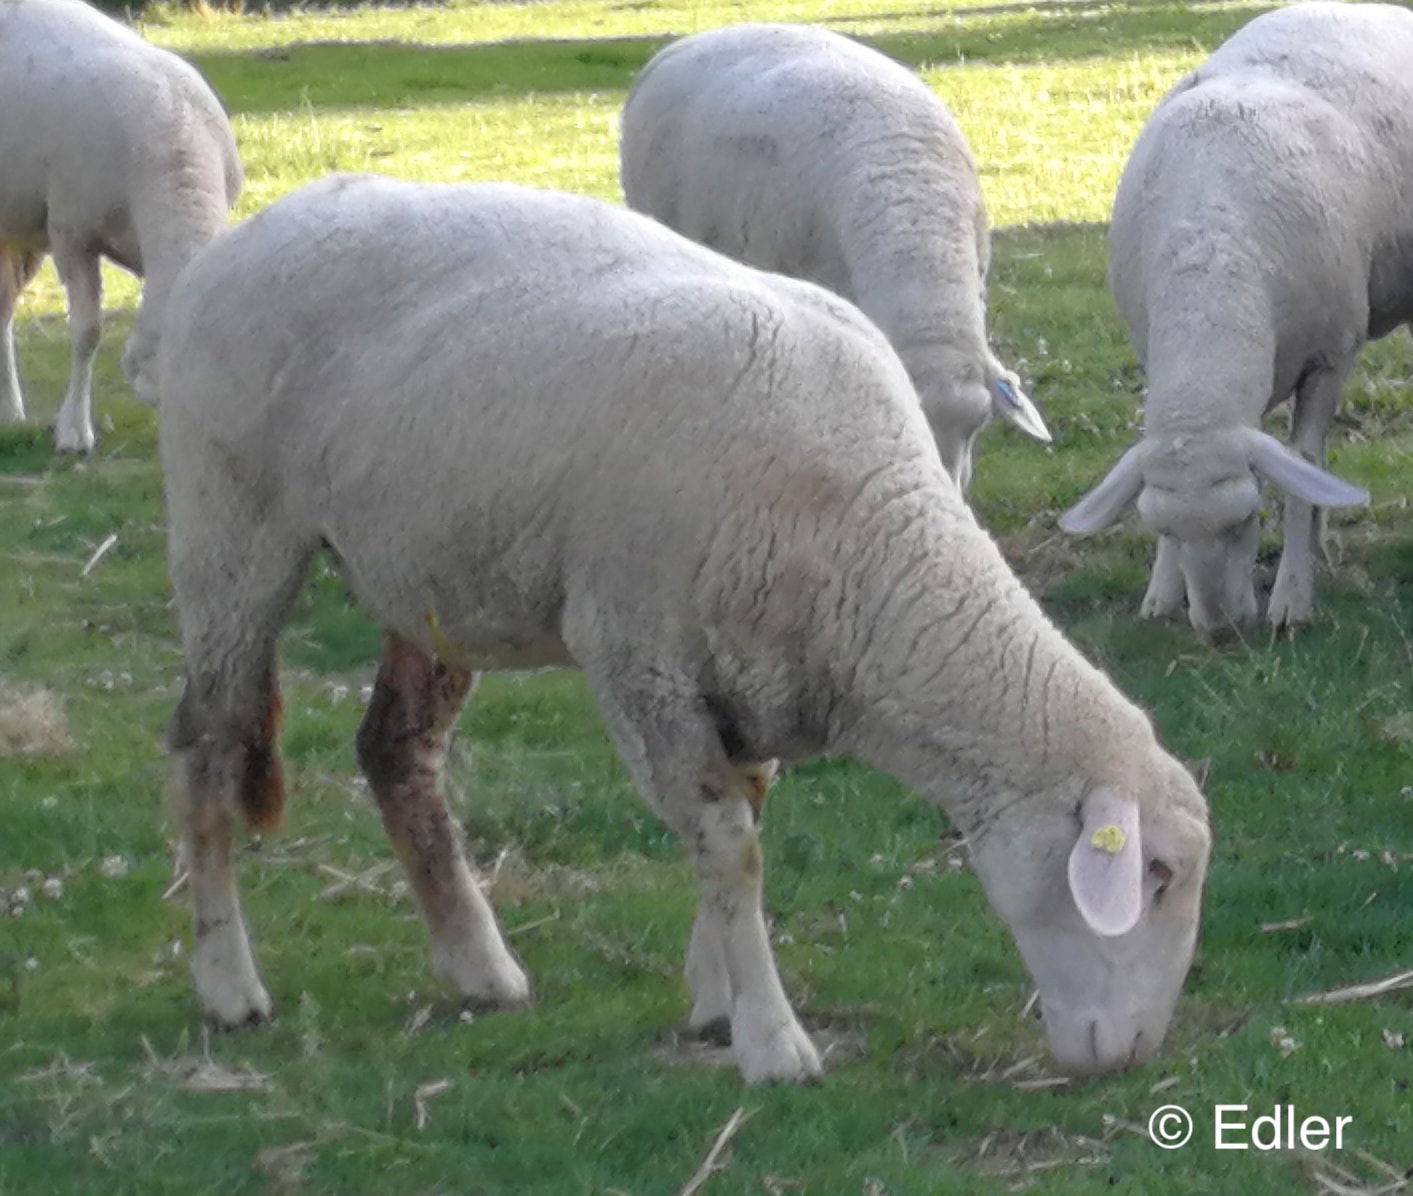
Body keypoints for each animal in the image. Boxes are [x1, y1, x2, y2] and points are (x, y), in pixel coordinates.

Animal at [160, 175, 1209, 1085]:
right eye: (1153, 874)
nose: (1130, 1058)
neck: (865, 557)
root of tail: (248, 233)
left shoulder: (754, 679)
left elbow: (740, 827)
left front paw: (718, 1000)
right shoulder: (638, 655)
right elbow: (727, 843)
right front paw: (772, 1043)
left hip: (425, 574)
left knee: (397, 753)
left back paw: (479, 969)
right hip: (230, 528)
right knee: (207, 744)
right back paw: (227, 988)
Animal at [1062, 0, 1413, 636]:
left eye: (1247, 520)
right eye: (1162, 530)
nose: (1220, 631)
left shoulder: (1331, 354)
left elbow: (1303, 468)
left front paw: (1293, 597)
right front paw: (1161, 592)